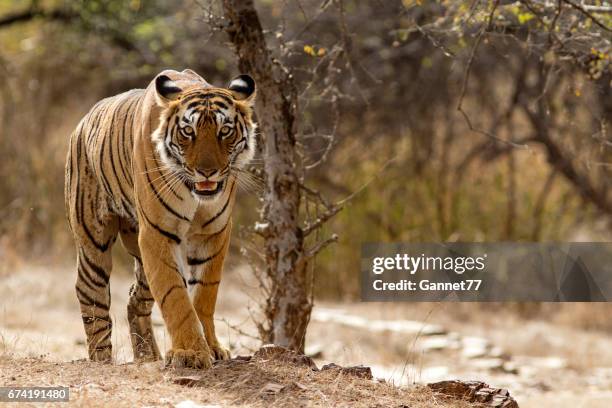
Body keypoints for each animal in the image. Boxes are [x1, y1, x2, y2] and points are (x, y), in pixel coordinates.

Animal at [65, 68, 256, 368]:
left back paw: (147, 356)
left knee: (135, 299)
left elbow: (204, 294)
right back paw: (102, 359)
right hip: (93, 241)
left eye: (224, 131)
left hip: (140, 259)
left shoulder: (213, 233)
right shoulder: (157, 234)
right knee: (90, 294)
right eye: (188, 131)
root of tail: (83, 121)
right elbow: (174, 295)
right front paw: (190, 353)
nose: (207, 172)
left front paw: (211, 347)